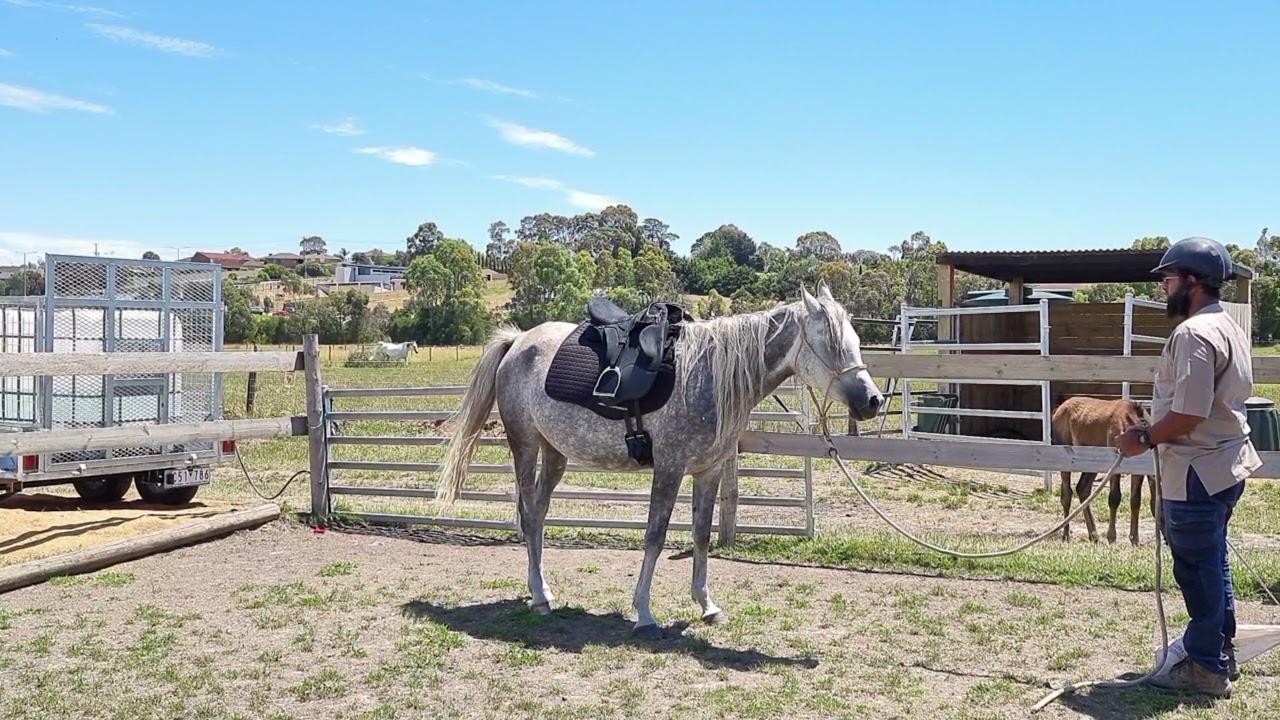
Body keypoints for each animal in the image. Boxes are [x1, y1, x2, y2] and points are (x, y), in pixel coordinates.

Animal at [436, 281, 884, 640]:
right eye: (829, 342)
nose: (873, 401)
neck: (708, 375)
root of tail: (517, 342)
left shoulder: (708, 471)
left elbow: (701, 535)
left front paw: (707, 605)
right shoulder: (670, 469)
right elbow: (655, 536)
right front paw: (645, 614)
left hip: (555, 453)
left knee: (540, 515)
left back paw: (542, 592)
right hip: (525, 445)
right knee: (529, 516)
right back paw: (541, 597)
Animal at [1050, 396, 1157, 545]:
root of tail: (1058, 409)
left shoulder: (1137, 471)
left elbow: (1135, 501)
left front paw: (1134, 539)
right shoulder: (1115, 467)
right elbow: (1114, 498)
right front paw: (1111, 536)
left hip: (1091, 464)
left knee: (1082, 489)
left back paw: (1093, 535)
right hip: (1064, 457)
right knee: (1067, 494)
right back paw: (1066, 535)